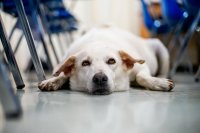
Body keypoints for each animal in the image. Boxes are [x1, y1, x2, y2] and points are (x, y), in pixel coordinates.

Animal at [38, 26, 174, 94]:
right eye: (85, 63)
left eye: (111, 61)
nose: (99, 78)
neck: (97, 42)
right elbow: (62, 74)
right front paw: (52, 81)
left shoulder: (141, 67)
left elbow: (141, 77)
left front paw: (159, 83)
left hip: (161, 48)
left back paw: (161, 79)